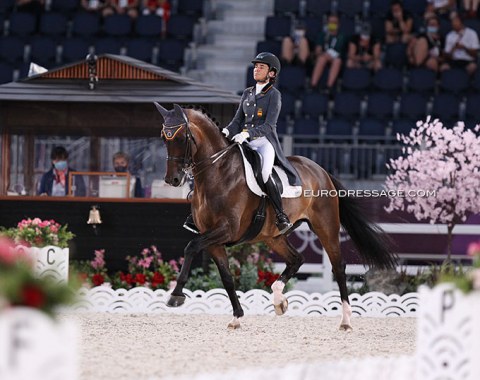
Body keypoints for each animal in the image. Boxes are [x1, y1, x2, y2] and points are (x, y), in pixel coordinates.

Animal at [156, 103, 396, 330]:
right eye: (164, 138)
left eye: (181, 137)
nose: (172, 180)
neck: (218, 172)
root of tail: (322, 171)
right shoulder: (213, 239)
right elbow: (226, 278)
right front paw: (236, 317)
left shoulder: (226, 230)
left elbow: (191, 247)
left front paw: (175, 295)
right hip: (273, 236)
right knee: (296, 259)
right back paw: (280, 300)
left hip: (325, 227)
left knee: (338, 267)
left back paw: (345, 320)